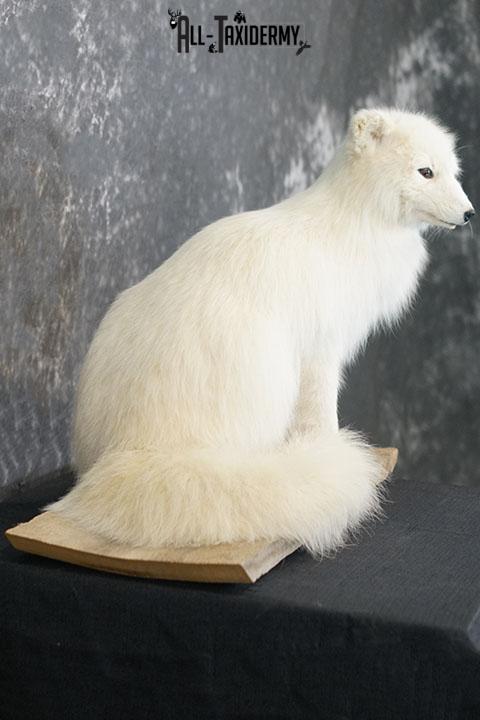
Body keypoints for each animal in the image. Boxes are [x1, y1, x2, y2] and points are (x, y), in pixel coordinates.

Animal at [45, 108, 474, 555]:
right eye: (425, 171)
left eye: (453, 172)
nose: (469, 213)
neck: (355, 224)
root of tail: (126, 451)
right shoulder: (322, 352)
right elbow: (323, 414)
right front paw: (330, 452)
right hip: (269, 375)